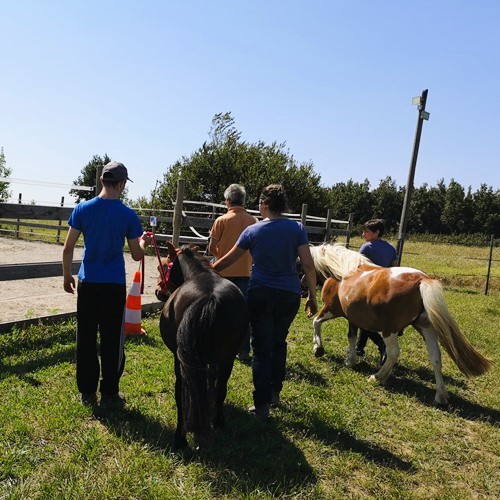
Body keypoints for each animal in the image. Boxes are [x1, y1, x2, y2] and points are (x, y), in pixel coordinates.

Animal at [155, 242, 247, 450]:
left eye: (163, 265)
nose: (157, 292)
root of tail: (210, 297)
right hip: (227, 358)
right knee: (221, 387)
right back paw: (217, 421)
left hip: (182, 361)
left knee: (182, 390)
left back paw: (179, 438)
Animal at [308, 244, 492, 404]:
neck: (343, 272)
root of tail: (421, 280)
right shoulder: (352, 318)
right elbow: (351, 337)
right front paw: (351, 360)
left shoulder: (331, 309)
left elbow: (316, 322)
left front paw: (318, 348)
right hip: (426, 328)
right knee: (435, 357)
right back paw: (440, 395)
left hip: (390, 330)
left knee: (393, 353)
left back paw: (378, 377)